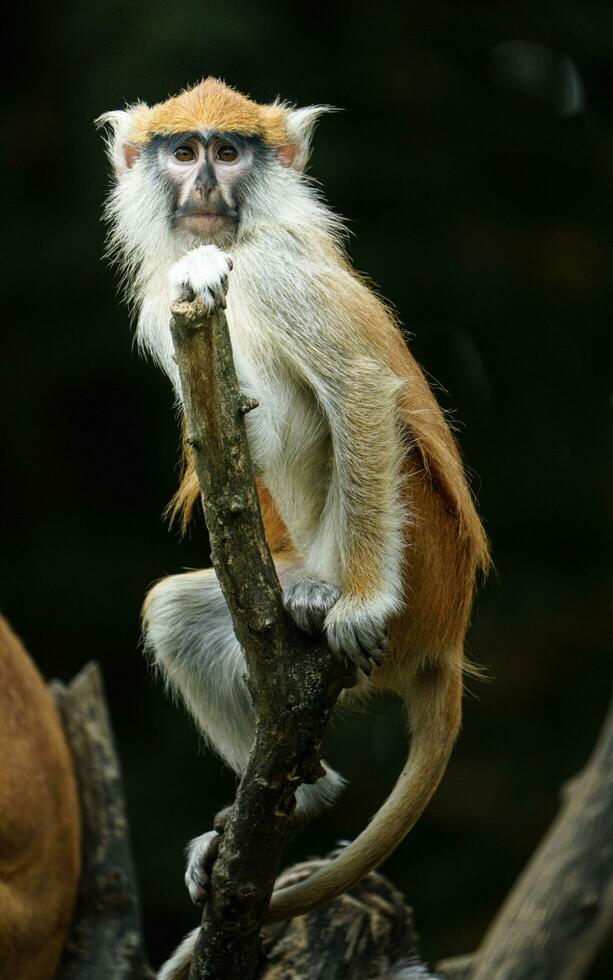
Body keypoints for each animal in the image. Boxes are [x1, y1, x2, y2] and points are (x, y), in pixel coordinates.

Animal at [97, 78, 488, 964]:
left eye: (229, 151)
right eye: (183, 151)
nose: (207, 183)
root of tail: (446, 641)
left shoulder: (276, 268)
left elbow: (355, 388)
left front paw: (360, 605)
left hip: (418, 571)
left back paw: (332, 599)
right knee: (175, 613)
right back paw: (307, 792)